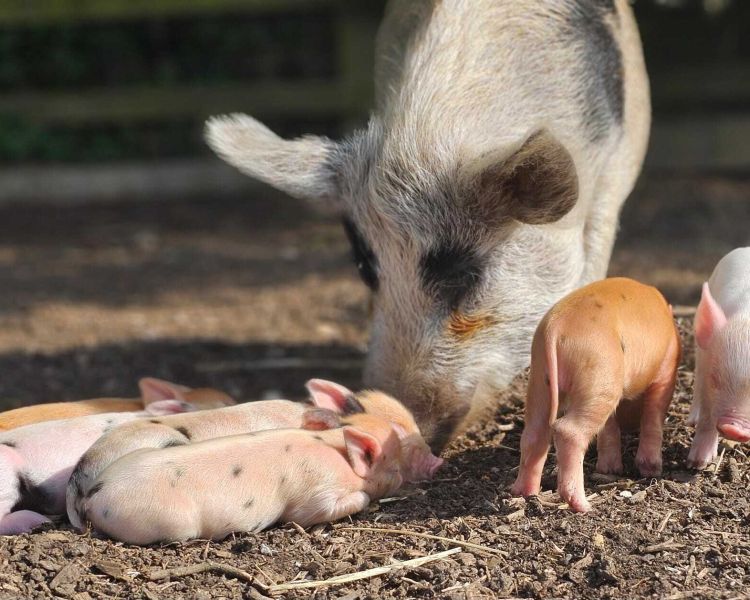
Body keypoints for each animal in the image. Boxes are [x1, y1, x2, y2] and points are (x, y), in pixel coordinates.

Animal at [78, 416, 404, 545]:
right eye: (396, 464)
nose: (405, 477)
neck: (336, 449)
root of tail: (93, 495)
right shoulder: (315, 496)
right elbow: (319, 510)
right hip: (171, 520)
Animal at [511, 278, 681, 512]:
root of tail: (555, 328)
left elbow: (608, 428)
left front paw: (609, 470)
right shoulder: (666, 369)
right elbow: (654, 415)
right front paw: (652, 470)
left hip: (542, 379)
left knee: (534, 433)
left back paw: (524, 493)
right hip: (600, 372)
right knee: (568, 431)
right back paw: (584, 506)